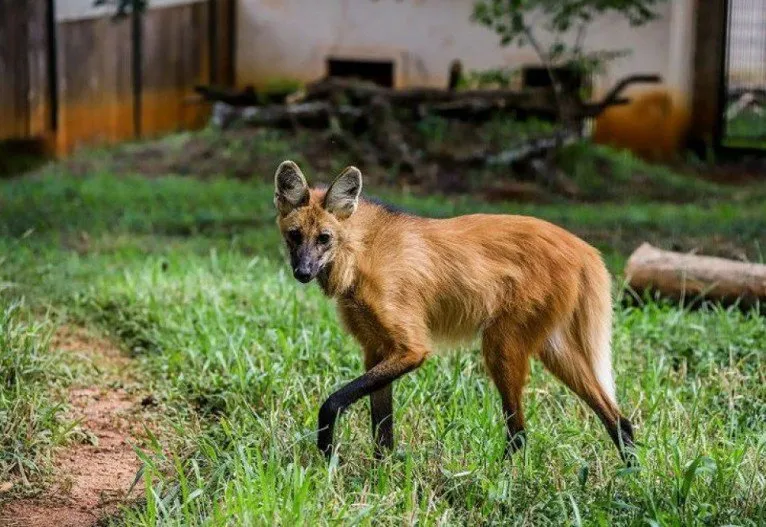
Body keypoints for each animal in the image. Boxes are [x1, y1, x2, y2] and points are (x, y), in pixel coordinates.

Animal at [274, 160, 636, 462]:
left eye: (324, 238)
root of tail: (583, 247)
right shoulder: (376, 348)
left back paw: (494, 477)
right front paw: (381, 475)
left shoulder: (411, 348)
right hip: (553, 348)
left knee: (519, 433)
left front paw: (327, 455)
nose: (302, 272)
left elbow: (333, 403)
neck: (359, 254)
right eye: (295, 236)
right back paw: (631, 478)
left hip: (500, 346)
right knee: (618, 419)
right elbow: (382, 428)